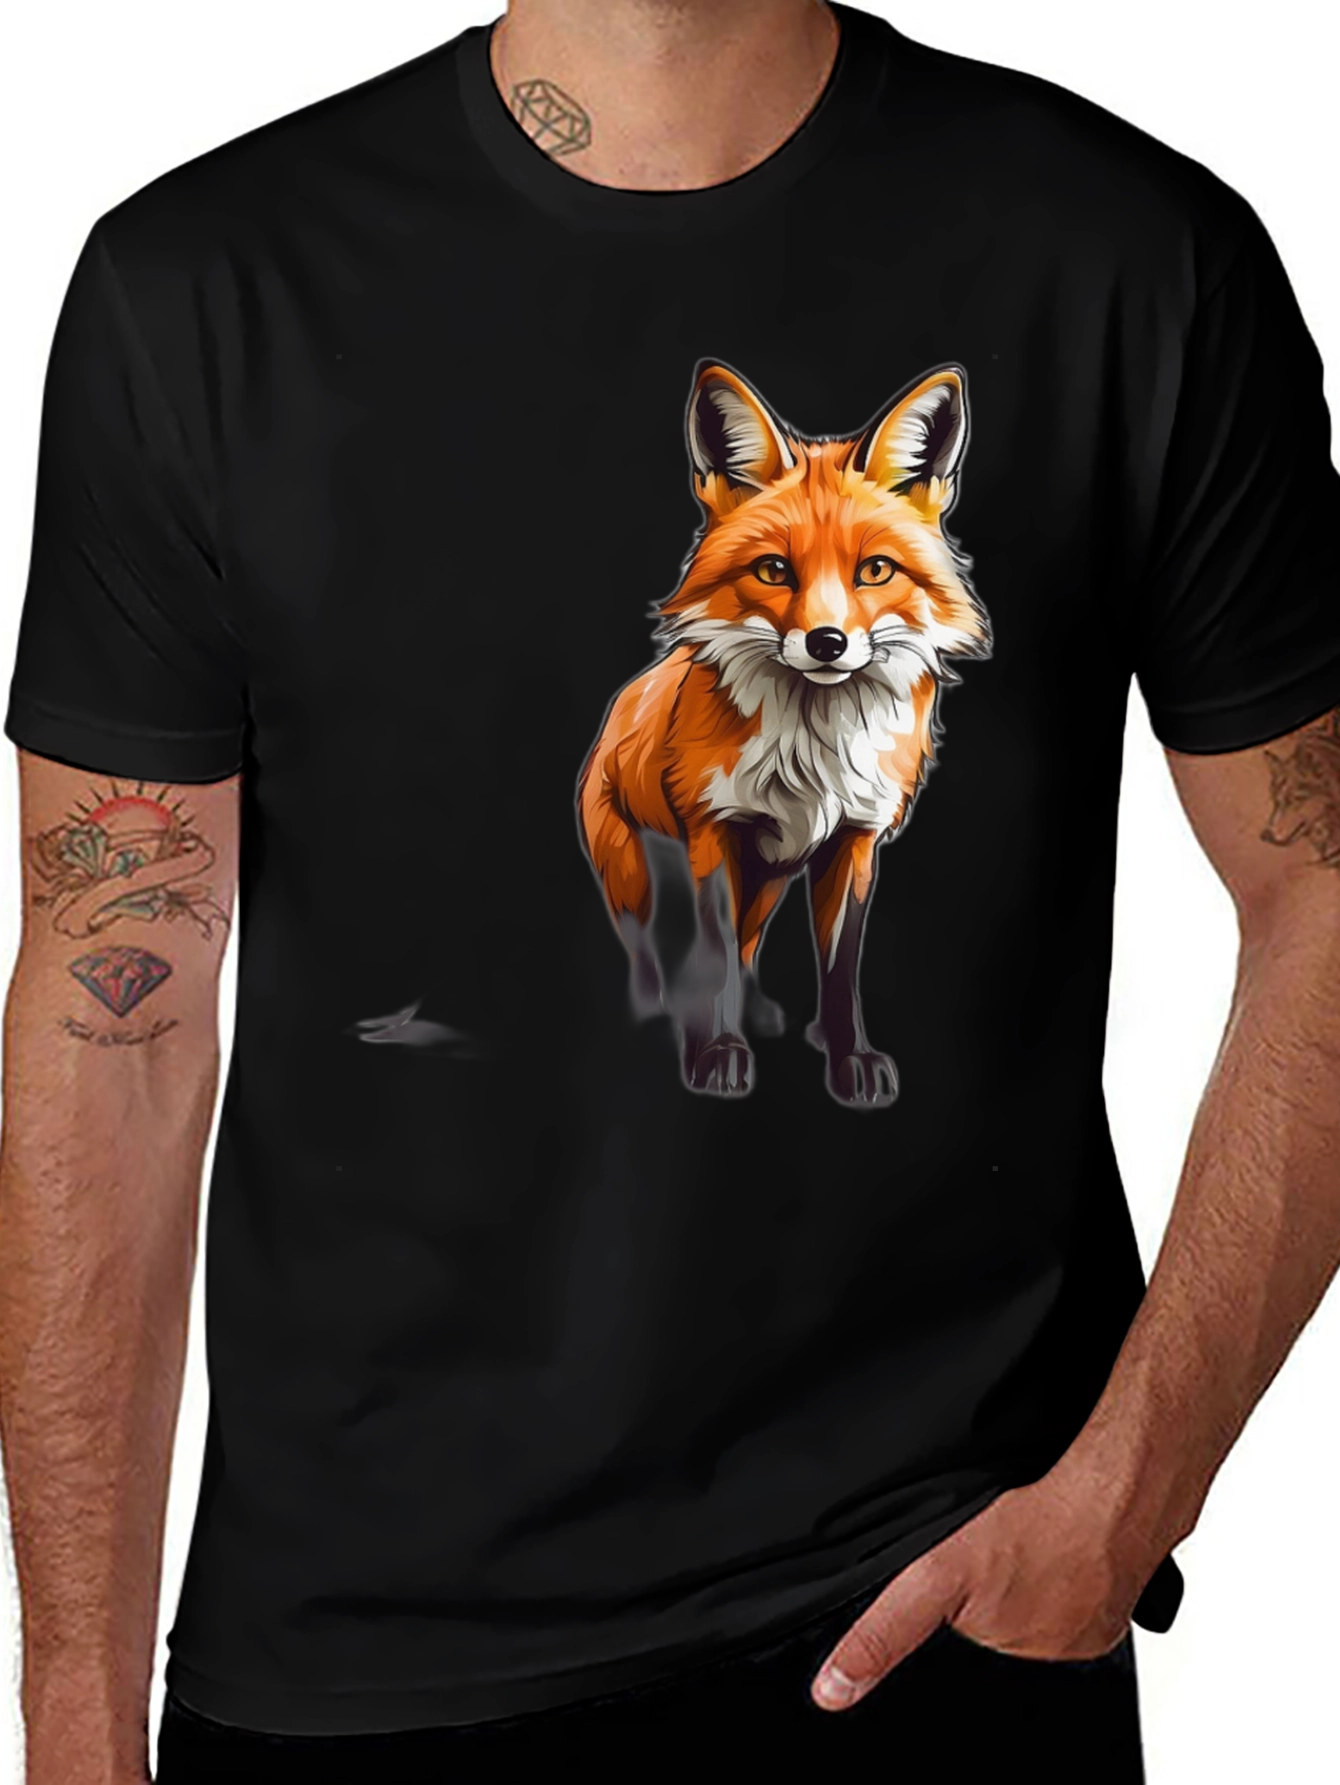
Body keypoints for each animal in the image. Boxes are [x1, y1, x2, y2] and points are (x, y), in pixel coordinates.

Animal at [579, 361, 990, 1103]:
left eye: (875, 570)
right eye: (773, 570)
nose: (828, 642)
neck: (813, 748)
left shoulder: (855, 840)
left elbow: (838, 969)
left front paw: (849, 1055)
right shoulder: (711, 833)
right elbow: (716, 962)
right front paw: (719, 1052)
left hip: (768, 878)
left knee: (746, 945)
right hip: (631, 873)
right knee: (652, 953)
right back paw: (662, 1014)